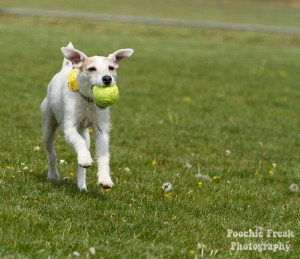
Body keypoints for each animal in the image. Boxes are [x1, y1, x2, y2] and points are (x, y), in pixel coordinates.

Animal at [40, 42, 134, 191]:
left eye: (111, 68)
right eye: (91, 69)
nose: (107, 78)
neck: (88, 101)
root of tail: (64, 70)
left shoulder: (102, 131)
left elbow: (103, 156)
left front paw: (105, 179)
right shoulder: (69, 128)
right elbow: (79, 142)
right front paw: (84, 158)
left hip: (85, 132)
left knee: (84, 150)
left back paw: (81, 185)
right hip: (48, 126)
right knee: (51, 152)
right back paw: (53, 175)